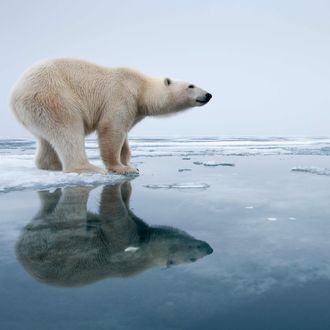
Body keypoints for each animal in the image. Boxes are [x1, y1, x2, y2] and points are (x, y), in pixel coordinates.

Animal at [10, 58, 213, 174]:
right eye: (191, 85)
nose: (208, 95)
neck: (140, 87)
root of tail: (14, 95)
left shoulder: (135, 109)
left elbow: (124, 135)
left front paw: (130, 163)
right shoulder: (121, 95)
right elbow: (112, 129)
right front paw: (122, 168)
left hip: (35, 111)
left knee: (46, 138)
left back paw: (52, 165)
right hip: (53, 96)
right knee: (68, 129)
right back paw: (88, 168)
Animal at [15, 180, 213, 286]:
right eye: (192, 258)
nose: (209, 248)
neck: (145, 253)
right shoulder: (126, 250)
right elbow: (116, 220)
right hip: (49, 243)